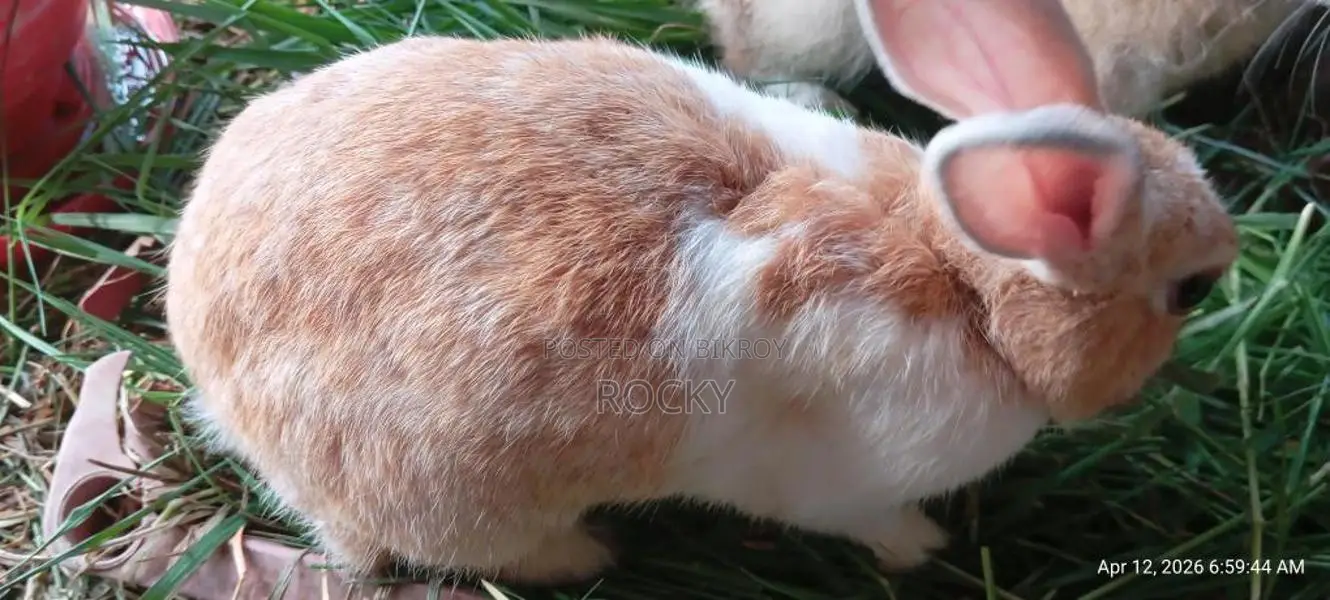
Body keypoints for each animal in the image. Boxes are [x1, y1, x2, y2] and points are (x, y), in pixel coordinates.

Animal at [164, 0, 1239, 586]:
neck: (961, 280)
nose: (1228, 255)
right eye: (1188, 290)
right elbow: (876, 525)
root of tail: (205, 360)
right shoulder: (845, 486)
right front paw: (927, 547)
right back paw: (589, 555)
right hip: (459, 501)